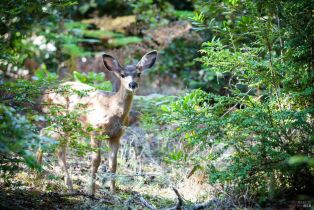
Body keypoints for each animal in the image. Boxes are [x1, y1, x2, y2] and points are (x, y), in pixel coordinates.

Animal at [39, 50, 157, 194]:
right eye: (122, 75)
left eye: (138, 74)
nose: (132, 84)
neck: (112, 108)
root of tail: (46, 94)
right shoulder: (95, 130)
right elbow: (96, 160)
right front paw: (91, 191)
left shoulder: (116, 136)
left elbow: (113, 163)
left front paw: (113, 191)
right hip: (62, 119)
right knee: (59, 148)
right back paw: (69, 185)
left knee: (44, 132)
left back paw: (38, 170)